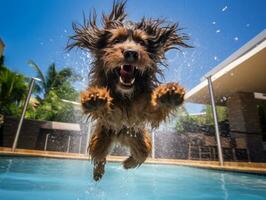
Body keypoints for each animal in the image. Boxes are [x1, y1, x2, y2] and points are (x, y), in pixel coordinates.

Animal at [67, 0, 190, 181]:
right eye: (116, 40)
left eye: (142, 43)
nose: (131, 52)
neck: (126, 96)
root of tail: (121, 139)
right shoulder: (111, 117)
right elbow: (105, 109)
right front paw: (96, 98)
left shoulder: (144, 110)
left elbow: (155, 109)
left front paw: (168, 94)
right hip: (102, 138)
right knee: (99, 156)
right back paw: (98, 172)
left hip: (139, 138)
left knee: (141, 154)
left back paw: (127, 163)